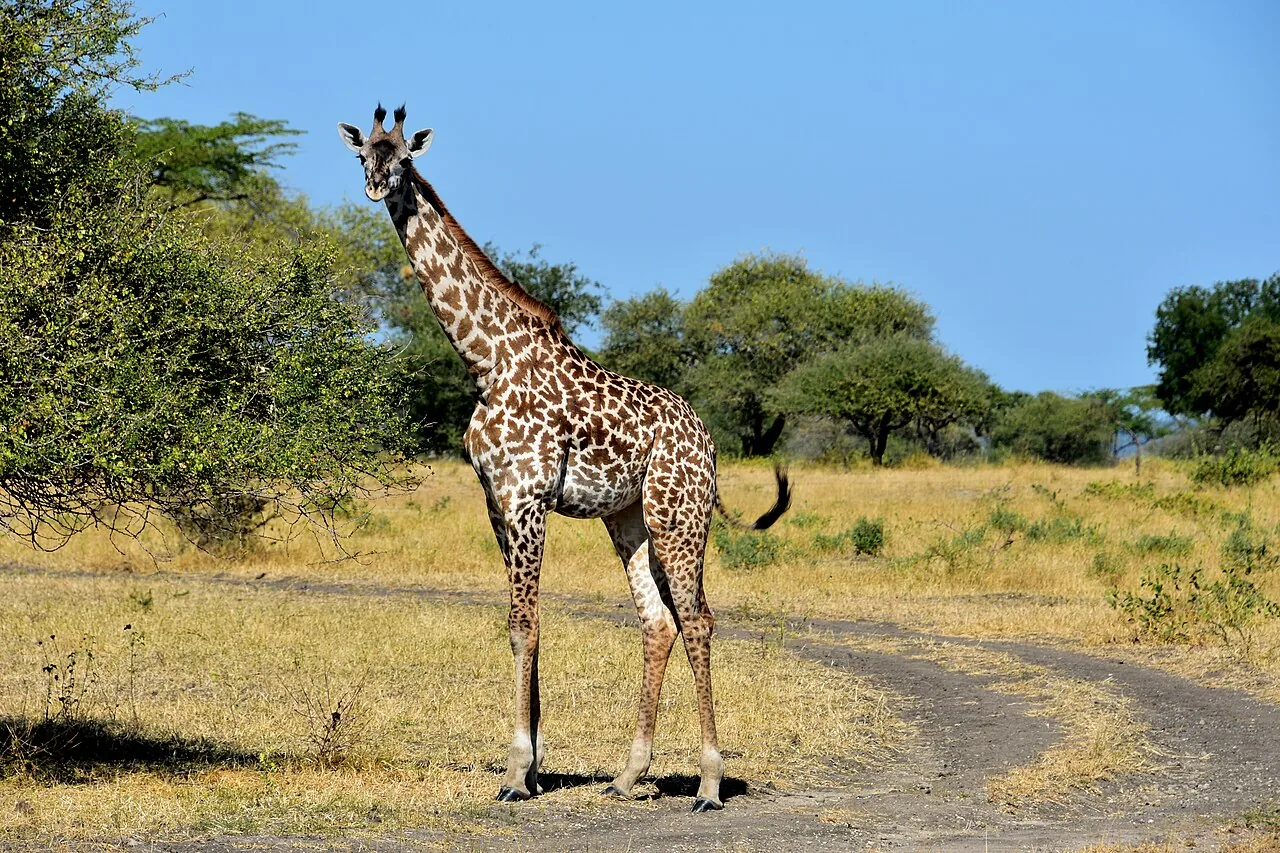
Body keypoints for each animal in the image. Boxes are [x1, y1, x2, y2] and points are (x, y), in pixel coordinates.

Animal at [338, 105, 791, 813]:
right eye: (363, 155)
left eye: (404, 157)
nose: (378, 183)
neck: (486, 360)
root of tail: (708, 440)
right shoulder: (497, 501)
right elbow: (524, 623)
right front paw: (532, 767)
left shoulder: (527, 497)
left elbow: (524, 623)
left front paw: (516, 771)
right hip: (629, 519)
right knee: (658, 622)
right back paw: (629, 775)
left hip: (679, 515)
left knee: (698, 619)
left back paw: (710, 784)